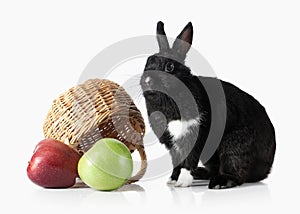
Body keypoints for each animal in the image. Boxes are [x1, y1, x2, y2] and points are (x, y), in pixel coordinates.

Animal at [141, 21, 276, 189]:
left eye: (169, 67)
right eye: (147, 62)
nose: (147, 81)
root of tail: (266, 167)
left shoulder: (195, 134)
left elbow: (189, 160)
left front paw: (182, 182)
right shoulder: (171, 142)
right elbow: (176, 162)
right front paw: (172, 180)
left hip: (234, 146)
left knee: (236, 171)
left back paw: (220, 183)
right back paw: (201, 173)